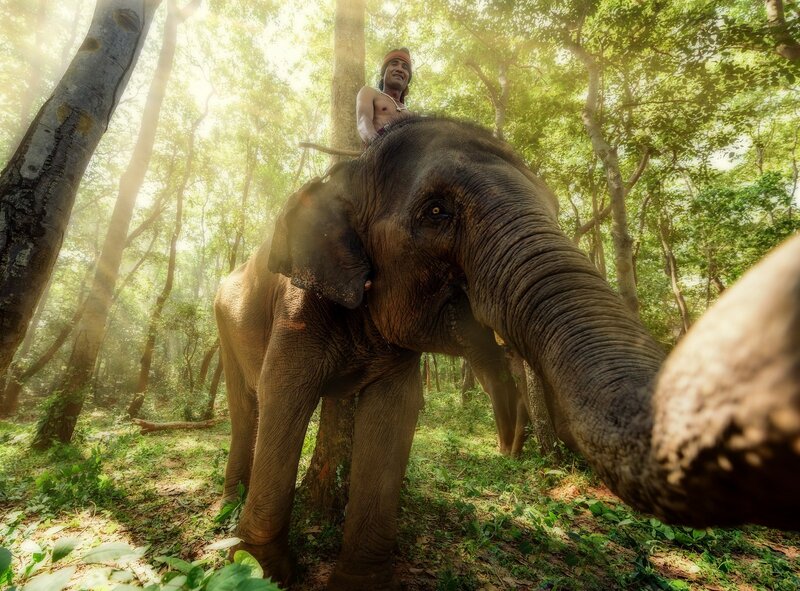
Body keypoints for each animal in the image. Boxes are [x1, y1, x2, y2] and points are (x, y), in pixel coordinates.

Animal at [214, 117, 800, 590]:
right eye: (436, 211)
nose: (510, 444)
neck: (348, 171)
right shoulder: (297, 307)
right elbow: (286, 395)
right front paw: (264, 571)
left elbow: (394, 413)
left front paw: (359, 582)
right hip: (224, 322)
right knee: (249, 405)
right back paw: (229, 502)